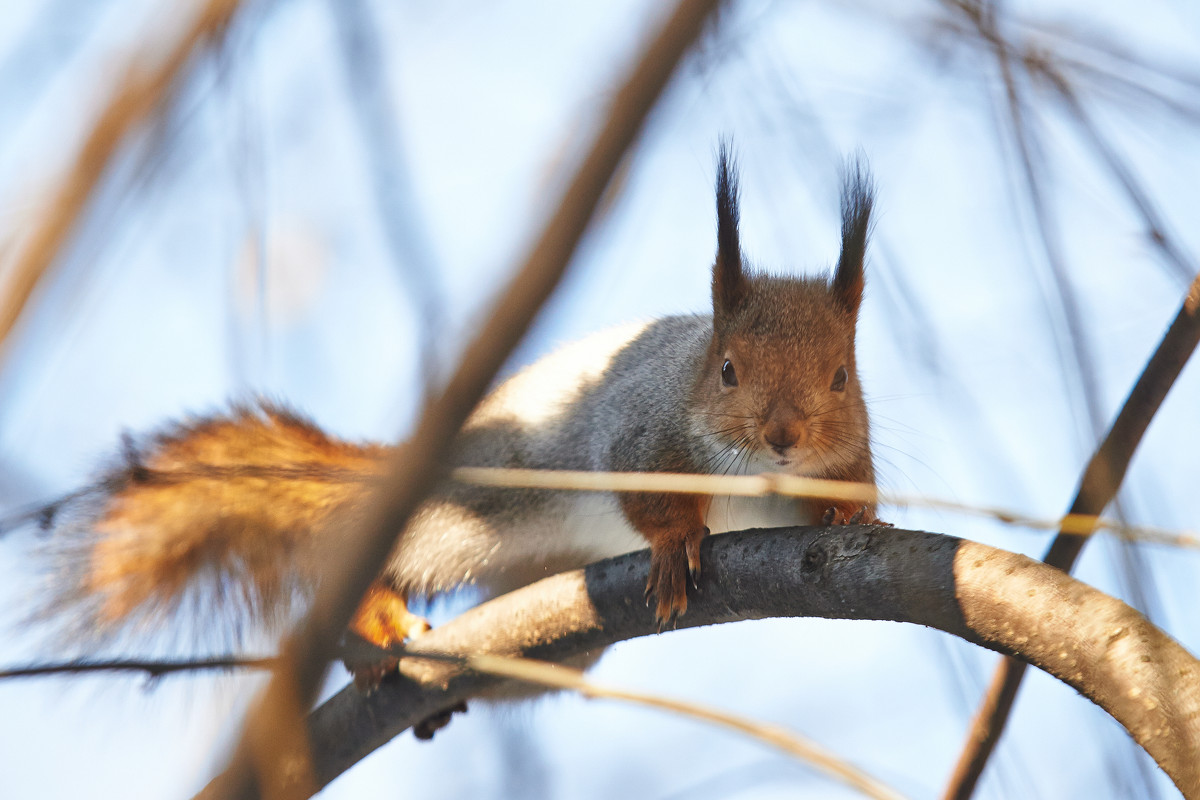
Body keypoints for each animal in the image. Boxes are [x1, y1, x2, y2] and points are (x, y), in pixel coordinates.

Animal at [37, 148, 878, 690]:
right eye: (728, 369)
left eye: (843, 377)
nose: (783, 438)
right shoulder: (639, 434)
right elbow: (644, 497)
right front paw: (675, 546)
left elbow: (849, 494)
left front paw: (846, 515)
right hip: (476, 503)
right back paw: (374, 616)